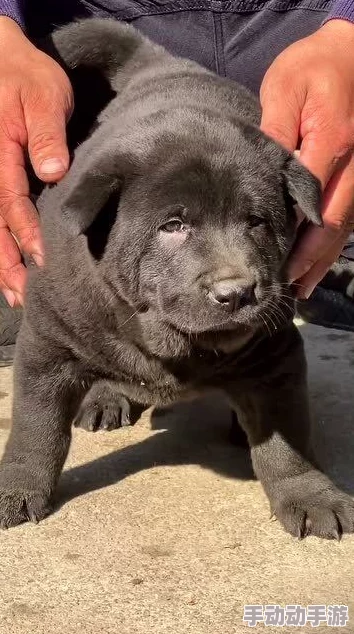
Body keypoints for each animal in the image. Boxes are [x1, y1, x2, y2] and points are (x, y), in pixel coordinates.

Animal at [1, 17, 352, 536]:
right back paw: (106, 396)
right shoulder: (47, 346)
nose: (236, 292)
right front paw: (17, 487)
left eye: (257, 222)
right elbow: (35, 430)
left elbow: (287, 441)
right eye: (172, 226)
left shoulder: (277, 351)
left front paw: (310, 495)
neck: (174, 344)